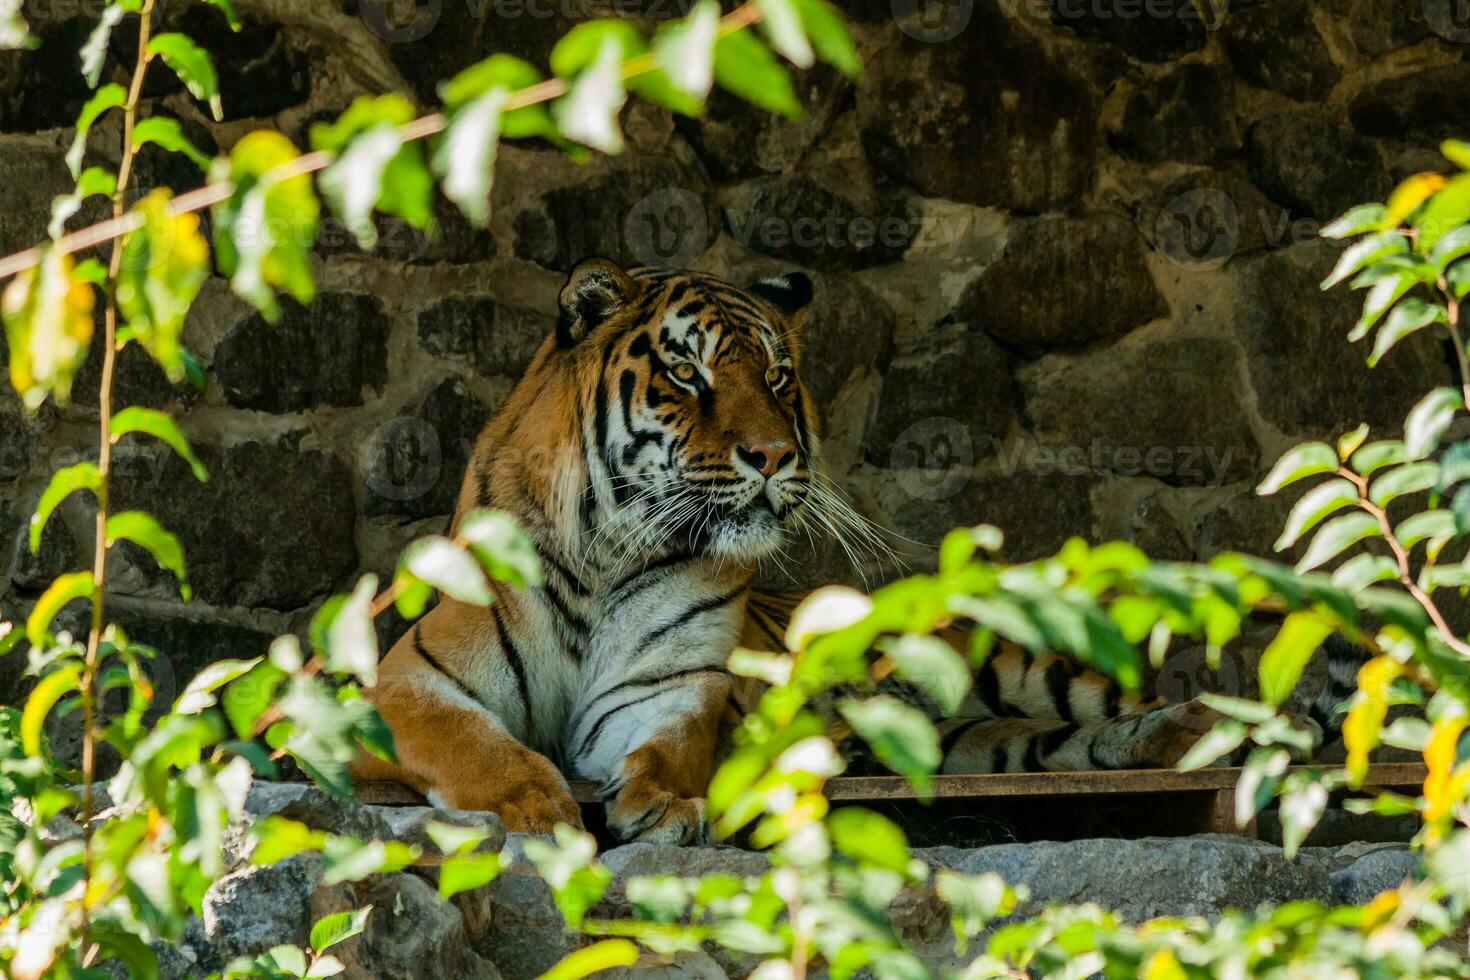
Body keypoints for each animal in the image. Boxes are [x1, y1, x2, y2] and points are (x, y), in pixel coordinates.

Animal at [349, 258, 1340, 846]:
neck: (609, 553)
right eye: (686, 373)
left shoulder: (666, 692)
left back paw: (1212, 730)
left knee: (1128, 705)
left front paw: (664, 802)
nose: (772, 455)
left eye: (777, 376)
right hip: (982, 742)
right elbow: (473, 742)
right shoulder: (407, 685)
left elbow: (670, 748)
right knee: (1061, 744)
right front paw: (534, 805)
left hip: (1009, 662)